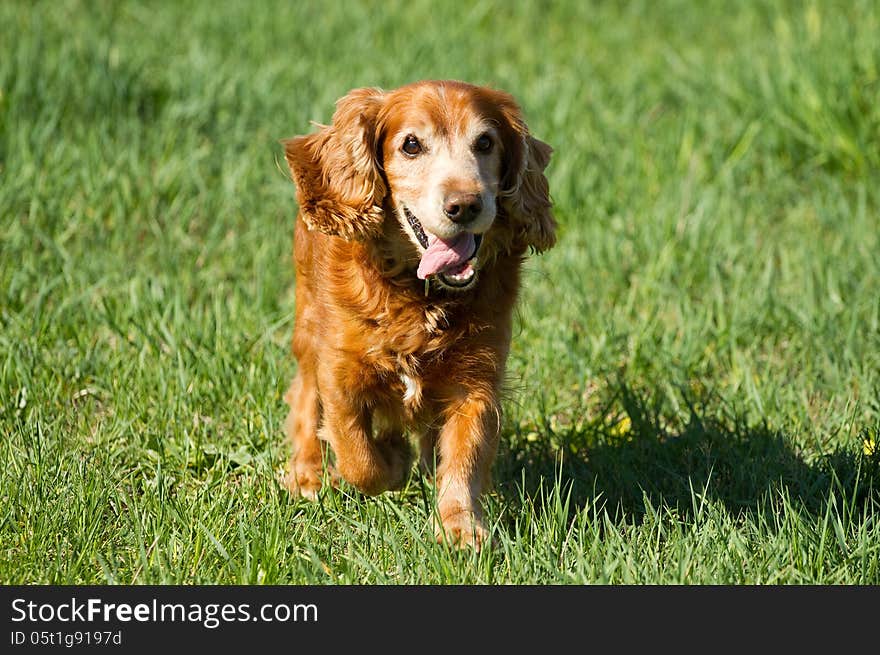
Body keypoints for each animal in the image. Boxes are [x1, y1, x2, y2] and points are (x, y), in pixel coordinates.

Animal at [282, 80, 556, 548]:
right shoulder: (340, 369)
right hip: (307, 323)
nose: (465, 205)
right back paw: (307, 473)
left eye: (486, 143)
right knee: (303, 393)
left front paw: (459, 527)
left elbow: (464, 454)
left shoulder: (476, 379)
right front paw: (391, 461)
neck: (420, 294)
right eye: (411, 144)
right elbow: (358, 456)